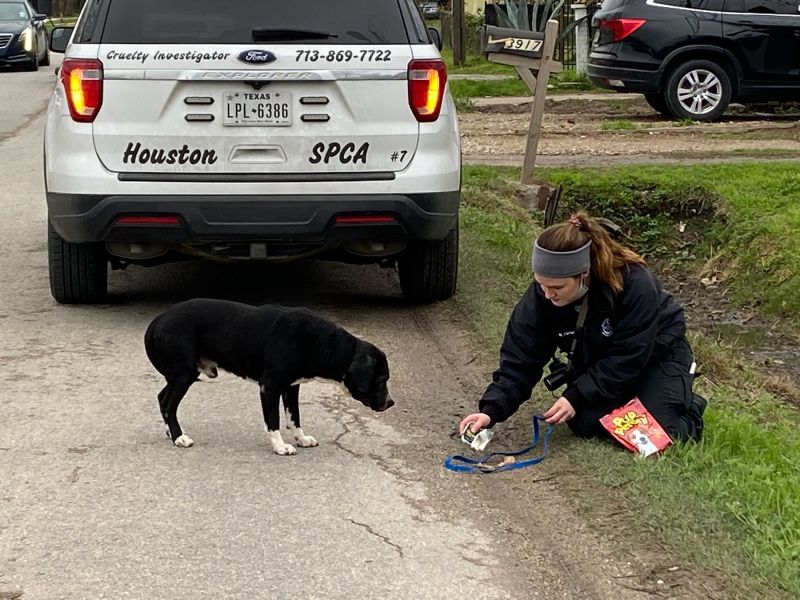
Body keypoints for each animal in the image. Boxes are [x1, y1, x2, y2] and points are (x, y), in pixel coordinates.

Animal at [145, 300, 396, 454]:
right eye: (381, 380)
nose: (391, 402)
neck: (322, 343)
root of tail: (158, 319)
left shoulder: (292, 387)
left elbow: (294, 417)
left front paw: (300, 438)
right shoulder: (270, 387)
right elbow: (273, 420)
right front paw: (280, 446)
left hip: (179, 375)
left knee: (162, 398)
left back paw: (170, 431)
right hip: (183, 374)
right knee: (169, 405)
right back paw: (179, 437)